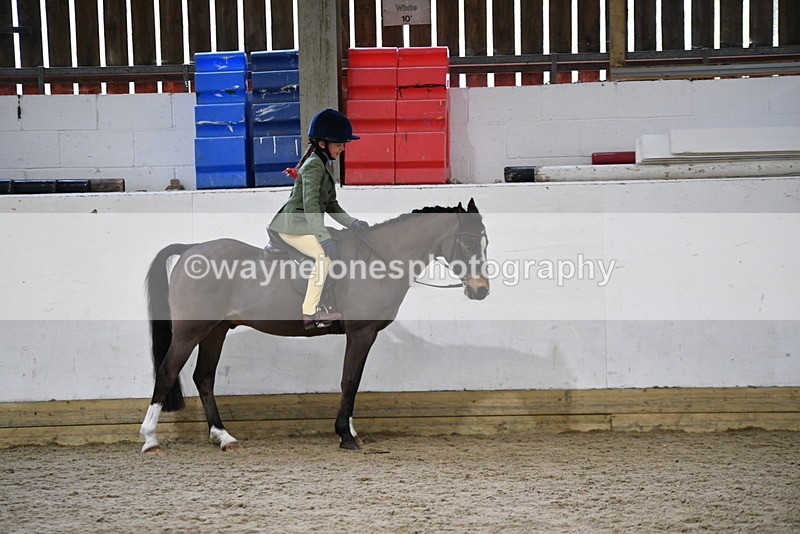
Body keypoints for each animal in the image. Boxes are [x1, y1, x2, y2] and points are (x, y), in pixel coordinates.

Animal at [139, 198, 490, 452]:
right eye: (469, 246)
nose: (481, 290)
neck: (378, 259)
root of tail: (190, 249)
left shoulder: (364, 336)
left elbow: (354, 382)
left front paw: (351, 431)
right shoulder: (361, 333)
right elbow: (349, 380)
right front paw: (345, 436)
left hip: (216, 330)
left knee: (204, 378)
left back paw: (224, 437)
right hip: (190, 332)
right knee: (168, 372)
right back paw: (151, 438)